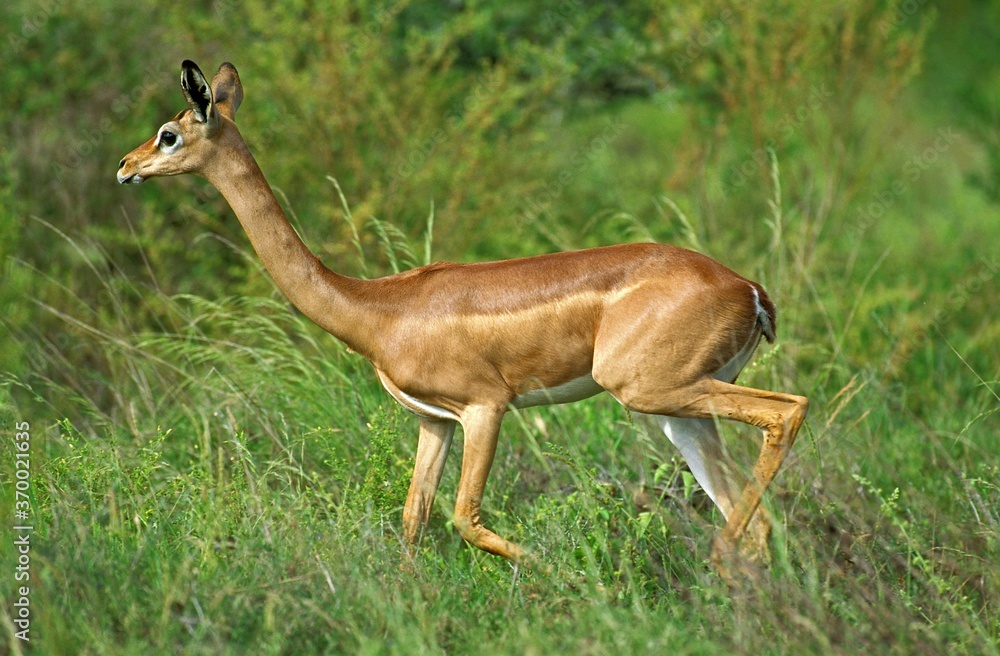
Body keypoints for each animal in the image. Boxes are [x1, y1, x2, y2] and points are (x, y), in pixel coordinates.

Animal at [117, 60, 808, 578]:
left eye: (170, 132)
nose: (126, 166)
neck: (379, 309)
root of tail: (748, 289)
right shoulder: (433, 422)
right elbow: (413, 521)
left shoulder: (485, 407)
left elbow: (464, 517)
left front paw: (569, 577)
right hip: (679, 410)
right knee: (752, 511)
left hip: (652, 390)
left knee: (787, 413)